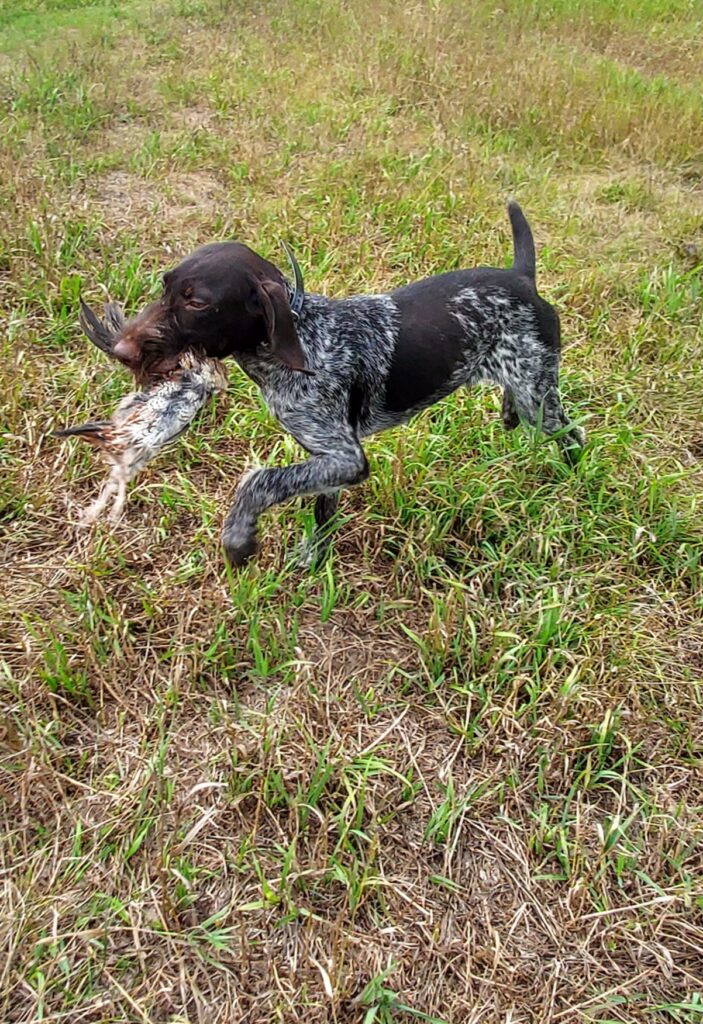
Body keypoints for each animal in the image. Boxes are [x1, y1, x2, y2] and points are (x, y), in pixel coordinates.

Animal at [104, 201, 585, 569]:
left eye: (197, 303)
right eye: (165, 287)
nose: (120, 350)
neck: (303, 341)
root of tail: (522, 278)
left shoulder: (346, 456)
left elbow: (258, 481)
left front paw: (239, 539)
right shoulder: (327, 459)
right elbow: (319, 509)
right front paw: (312, 559)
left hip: (539, 395)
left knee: (572, 434)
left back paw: (572, 480)